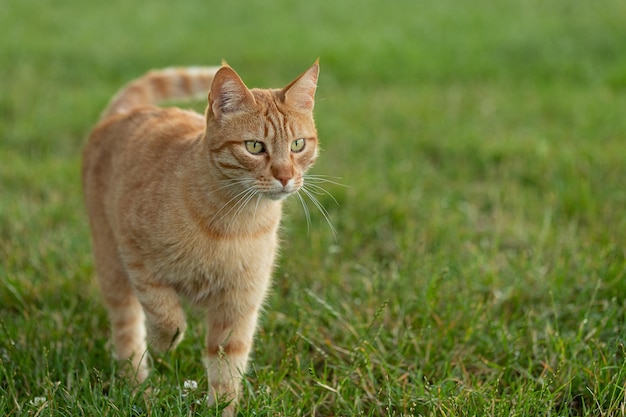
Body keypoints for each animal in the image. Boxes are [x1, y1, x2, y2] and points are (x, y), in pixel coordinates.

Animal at [81, 61, 320, 412]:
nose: (286, 176)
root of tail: (125, 112)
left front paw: (223, 408)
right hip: (111, 263)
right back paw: (140, 390)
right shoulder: (135, 257)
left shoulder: (238, 305)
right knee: (128, 331)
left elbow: (227, 368)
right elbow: (166, 315)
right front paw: (164, 343)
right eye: (254, 147)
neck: (232, 224)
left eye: (298, 145)